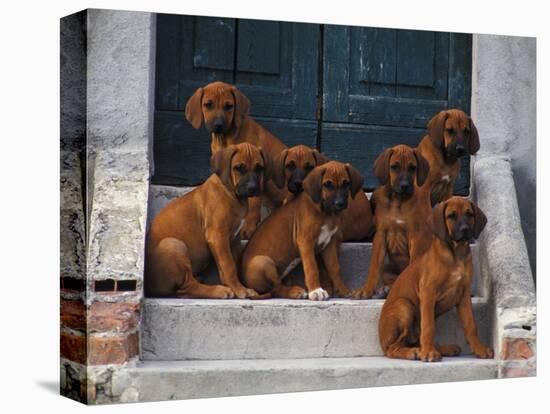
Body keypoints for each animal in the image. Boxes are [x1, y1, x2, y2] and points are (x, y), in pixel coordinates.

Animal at [146, 142, 266, 298]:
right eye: (239, 168)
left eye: (259, 168)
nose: (253, 188)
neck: (230, 192)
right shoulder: (218, 236)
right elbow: (229, 266)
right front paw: (239, 289)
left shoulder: (232, 240)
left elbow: (230, 264)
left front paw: (238, 287)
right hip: (173, 244)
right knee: (187, 287)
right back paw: (218, 291)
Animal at [187, 80, 288, 238]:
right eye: (208, 104)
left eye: (229, 106)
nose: (218, 125)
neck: (225, 138)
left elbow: (253, 202)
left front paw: (248, 226)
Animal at [243, 160, 366, 300]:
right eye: (327, 185)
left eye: (346, 183)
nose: (340, 204)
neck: (326, 213)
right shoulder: (305, 242)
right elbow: (311, 268)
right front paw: (316, 290)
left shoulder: (329, 243)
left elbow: (335, 268)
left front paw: (343, 289)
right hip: (262, 262)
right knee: (276, 288)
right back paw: (294, 291)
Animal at [356, 144, 434, 300]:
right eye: (394, 167)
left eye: (412, 168)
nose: (404, 186)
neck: (398, 201)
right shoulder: (380, 235)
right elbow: (374, 266)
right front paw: (366, 289)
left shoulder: (415, 235)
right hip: (387, 270)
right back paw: (384, 290)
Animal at [380, 196, 496, 360]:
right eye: (451, 216)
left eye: (469, 214)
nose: (465, 230)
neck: (456, 254)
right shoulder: (428, 292)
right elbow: (429, 327)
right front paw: (428, 352)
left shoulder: (464, 295)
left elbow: (471, 325)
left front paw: (479, 349)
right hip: (404, 305)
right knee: (393, 348)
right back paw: (414, 352)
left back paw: (442, 348)